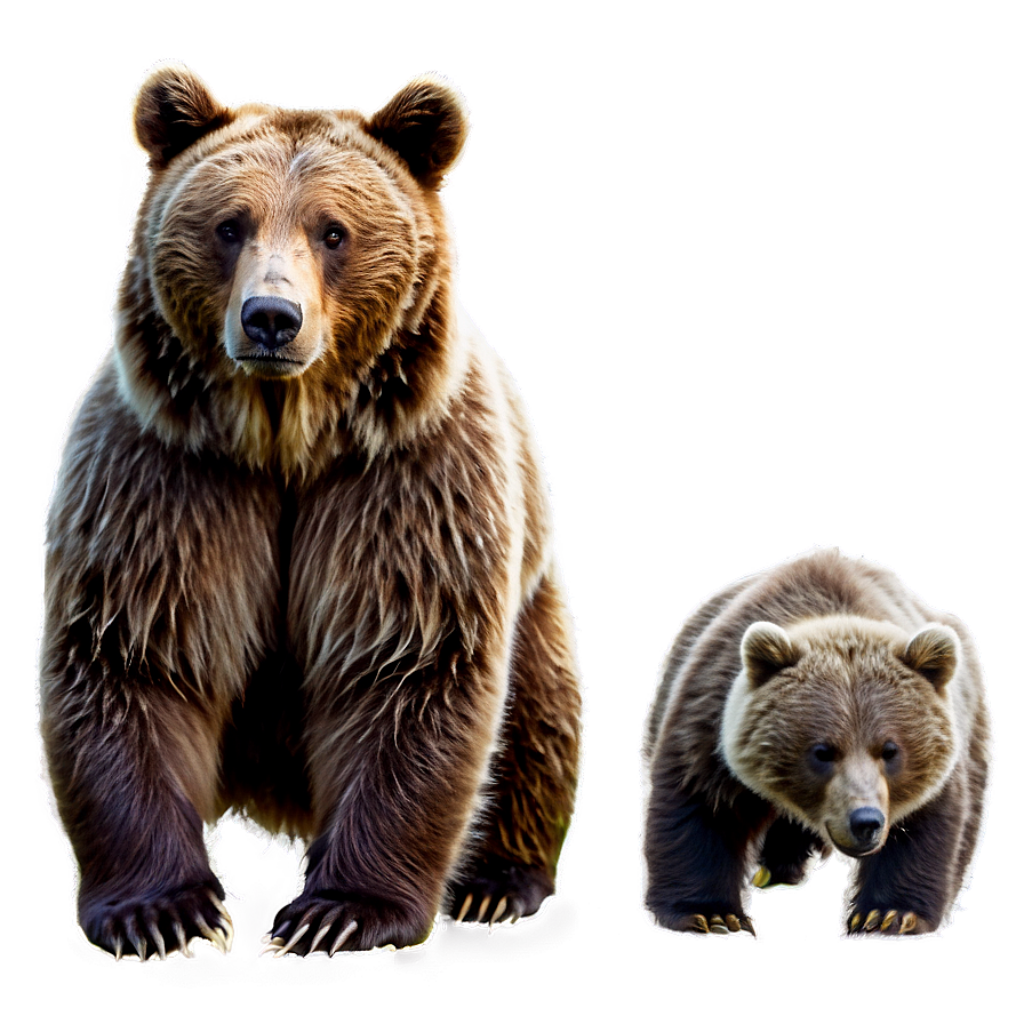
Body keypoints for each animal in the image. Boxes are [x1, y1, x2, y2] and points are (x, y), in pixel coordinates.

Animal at [37, 60, 585, 962]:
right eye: (230, 225)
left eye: (334, 231)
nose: (271, 317)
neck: (285, 439)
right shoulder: (168, 480)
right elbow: (136, 654)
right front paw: (167, 912)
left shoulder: (402, 483)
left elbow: (405, 665)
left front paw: (341, 911)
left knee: (536, 714)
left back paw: (498, 883)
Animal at [639, 544, 994, 940]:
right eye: (822, 751)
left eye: (890, 750)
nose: (865, 822)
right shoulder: (709, 714)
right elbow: (700, 806)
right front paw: (710, 914)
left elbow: (925, 825)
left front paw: (888, 914)